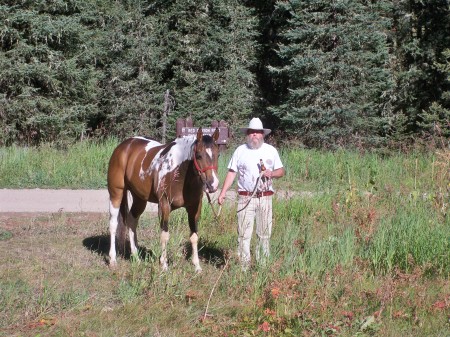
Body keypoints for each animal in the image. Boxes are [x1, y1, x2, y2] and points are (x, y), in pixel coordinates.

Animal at [107, 127, 220, 272]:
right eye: (199, 155)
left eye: (218, 155)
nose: (213, 185)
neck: (179, 172)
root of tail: (124, 146)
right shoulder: (164, 206)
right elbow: (165, 235)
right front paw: (164, 265)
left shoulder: (194, 208)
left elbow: (194, 236)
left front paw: (197, 266)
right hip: (116, 193)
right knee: (113, 224)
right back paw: (113, 259)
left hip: (139, 199)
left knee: (132, 221)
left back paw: (136, 257)